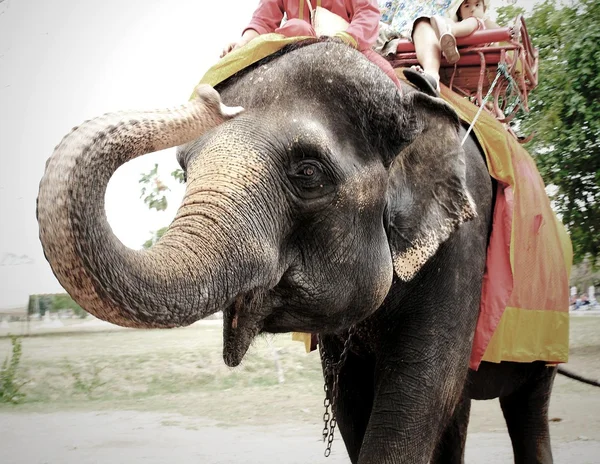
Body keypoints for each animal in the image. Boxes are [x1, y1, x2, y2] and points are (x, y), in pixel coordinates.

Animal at [39, 38, 560, 462]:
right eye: (185, 168)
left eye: (308, 173)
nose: (211, 98)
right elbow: (351, 399)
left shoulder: (463, 250)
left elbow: (420, 392)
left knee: (527, 409)